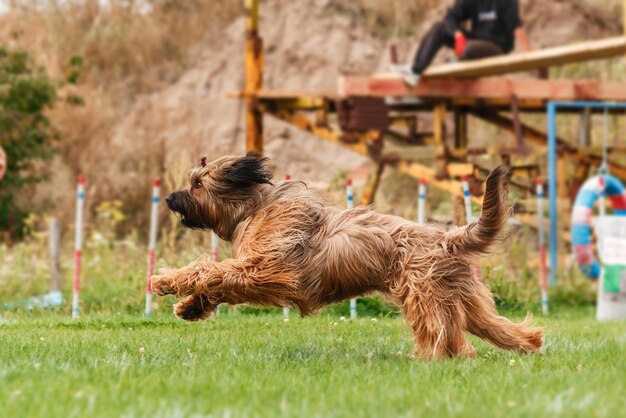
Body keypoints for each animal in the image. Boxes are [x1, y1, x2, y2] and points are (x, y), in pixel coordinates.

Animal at [152, 153, 540, 360]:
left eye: (198, 184)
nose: (169, 198)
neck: (255, 207)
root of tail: (447, 237)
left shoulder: (269, 271)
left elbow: (210, 270)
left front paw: (166, 281)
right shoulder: (256, 271)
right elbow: (217, 278)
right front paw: (190, 306)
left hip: (423, 295)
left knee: (442, 333)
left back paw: (432, 359)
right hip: (459, 295)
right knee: (492, 326)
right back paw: (529, 344)